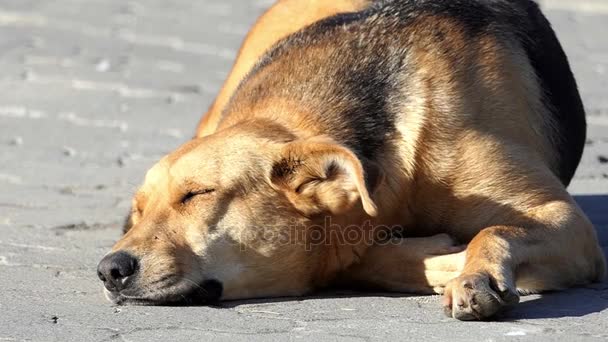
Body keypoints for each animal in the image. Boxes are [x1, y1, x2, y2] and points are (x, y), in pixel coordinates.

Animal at [97, 0, 604, 320]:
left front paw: (475, 274)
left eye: (197, 194)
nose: (109, 270)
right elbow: (360, 259)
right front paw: (440, 258)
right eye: (138, 211)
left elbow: (495, 230)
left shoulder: (567, 223)